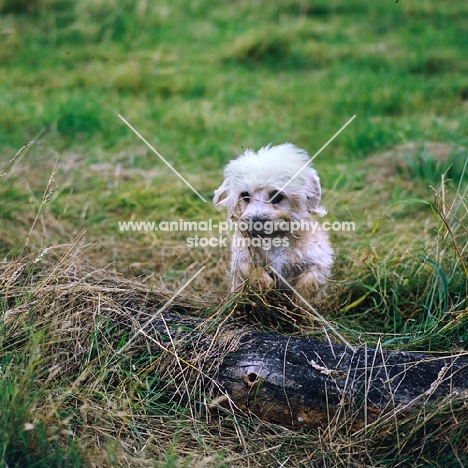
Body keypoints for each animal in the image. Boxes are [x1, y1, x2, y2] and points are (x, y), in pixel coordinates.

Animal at [214, 143, 334, 302]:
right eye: (245, 195)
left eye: (277, 196)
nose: (255, 220)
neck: (274, 239)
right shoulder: (240, 258)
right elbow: (251, 269)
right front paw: (264, 283)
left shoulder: (318, 261)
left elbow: (308, 283)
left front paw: (301, 304)